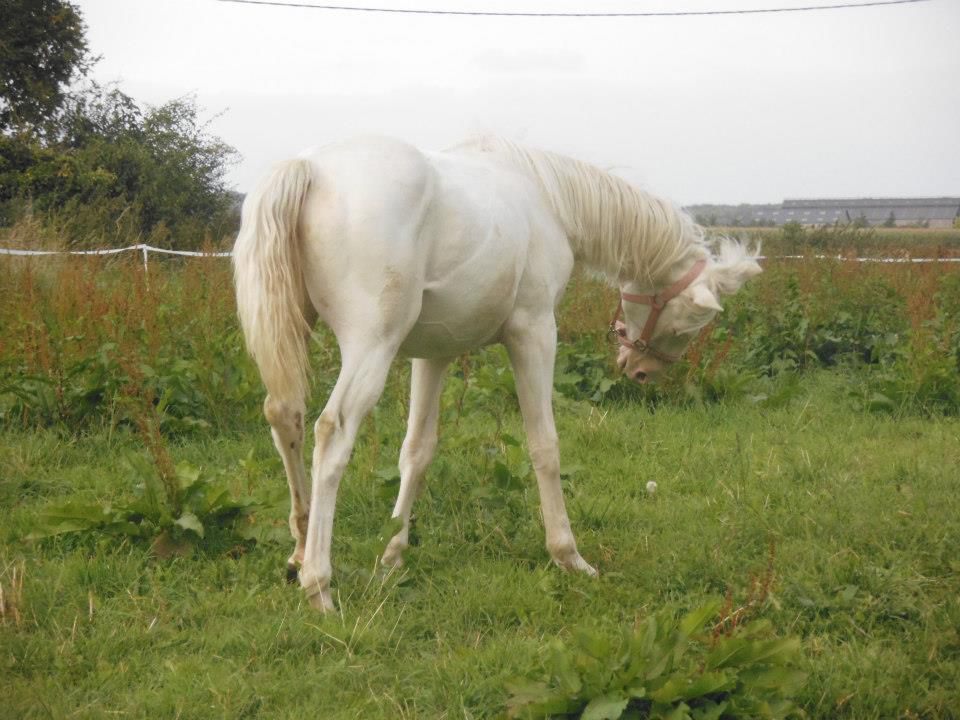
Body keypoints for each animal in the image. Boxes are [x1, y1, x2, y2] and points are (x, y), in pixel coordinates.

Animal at [233, 135, 761, 611]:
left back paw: (300, 553)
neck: (548, 198)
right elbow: (544, 445)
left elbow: (417, 451)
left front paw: (394, 554)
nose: (641, 372)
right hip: (370, 348)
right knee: (331, 433)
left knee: (286, 417)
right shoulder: (534, 332)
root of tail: (310, 167)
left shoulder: (433, 355)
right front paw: (569, 556)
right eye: (691, 322)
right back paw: (318, 584)